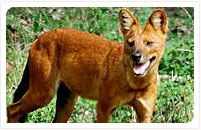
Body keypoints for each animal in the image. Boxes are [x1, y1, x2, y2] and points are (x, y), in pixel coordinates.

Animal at [6, 8, 168, 123]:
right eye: (130, 43)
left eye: (149, 43)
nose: (136, 56)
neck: (135, 84)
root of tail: (39, 39)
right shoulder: (103, 108)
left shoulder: (145, 114)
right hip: (43, 93)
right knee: (11, 110)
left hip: (67, 102)